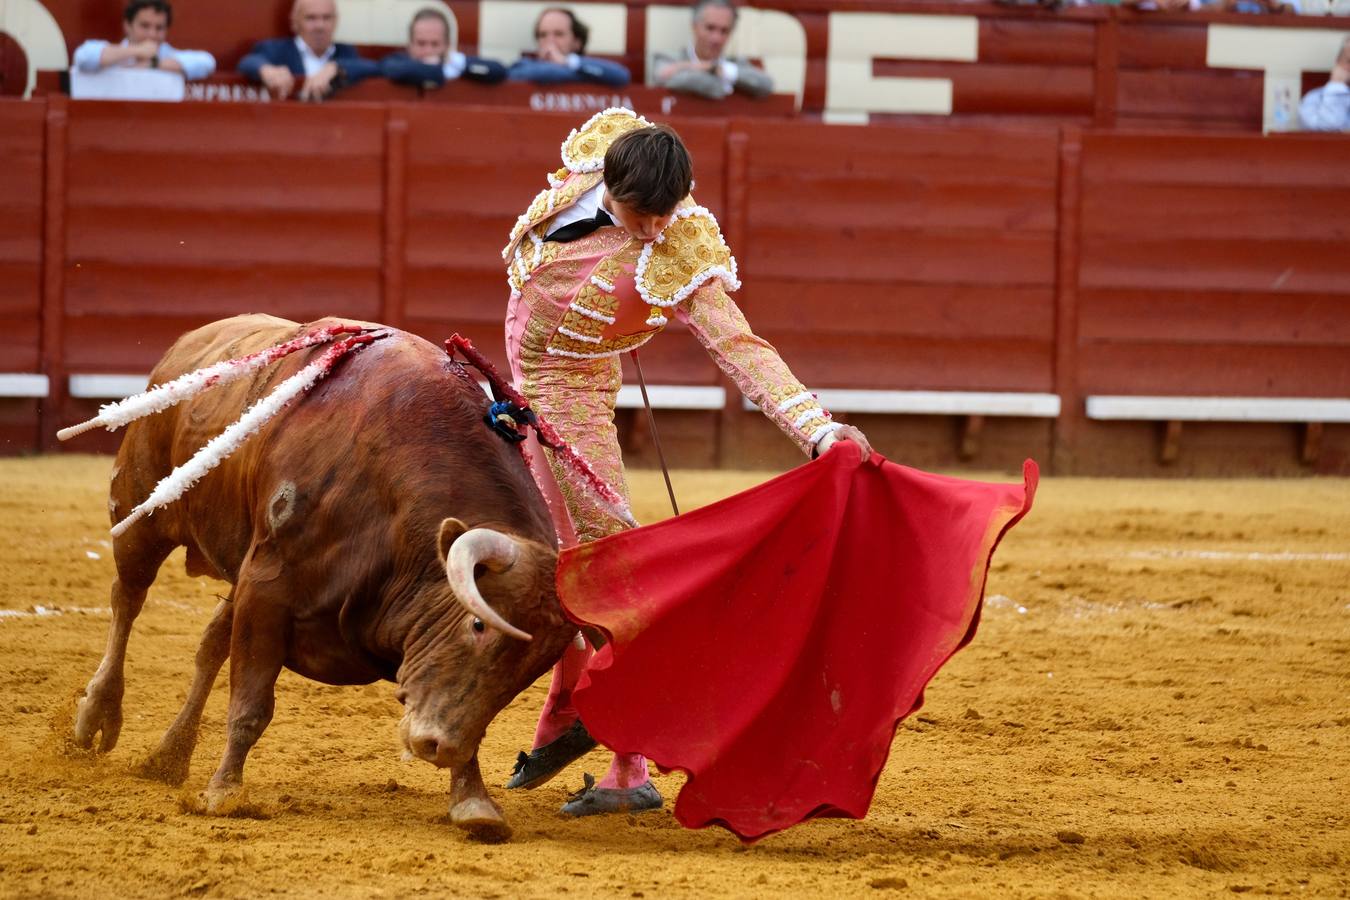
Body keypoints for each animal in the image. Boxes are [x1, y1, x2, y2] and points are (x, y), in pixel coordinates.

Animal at [69, 313, 575, 841]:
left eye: (532, 669)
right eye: (478, 624)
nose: (439, 748)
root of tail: (189, 342)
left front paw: (473, 802)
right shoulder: (266, 588)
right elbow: (252, 703)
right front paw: (224, 793)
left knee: (208, 646)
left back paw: (168, 756)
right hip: (138, 512)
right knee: (128, 599)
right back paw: (96, 715)